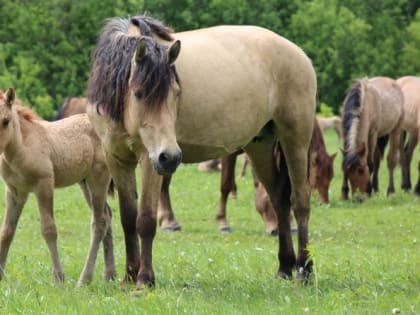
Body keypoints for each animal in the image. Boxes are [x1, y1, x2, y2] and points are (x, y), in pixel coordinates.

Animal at [0, 87, 115, 286]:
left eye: (6, 121)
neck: (22, 146)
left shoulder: (44, 185)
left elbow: (49, 229)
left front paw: (58, 277)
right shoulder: (15, 191)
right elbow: (7, 231)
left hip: (98, 179)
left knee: (99, 221)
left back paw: (84, 279)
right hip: (84, 183)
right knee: (107, 216)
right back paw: (109, 275)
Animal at [85, 15, 316, 292]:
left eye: (176, 93)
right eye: (139, 94)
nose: (171, 157)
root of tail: (299, 54)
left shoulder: (149, 160)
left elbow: (146, 220)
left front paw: (144, 279)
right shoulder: (117, 159)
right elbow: (128, 219)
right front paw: (129, 276)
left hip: (296, 139)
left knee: (300, 202)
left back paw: (304, 270)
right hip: (259, 145)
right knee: (280, 201)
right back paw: (284, 268)